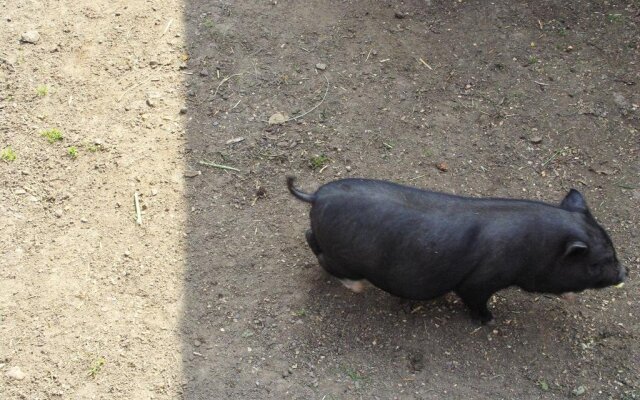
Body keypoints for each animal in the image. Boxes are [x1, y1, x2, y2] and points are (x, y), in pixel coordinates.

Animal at [288, 177, 628, 324]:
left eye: (612, 248)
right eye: (601, 260)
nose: (625, 271)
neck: (536, 246)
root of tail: (317, 196)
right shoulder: (479, 281)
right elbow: (474, 299)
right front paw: (491, 321)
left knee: (308, 236)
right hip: (343, 256)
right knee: (327, 261)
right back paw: (357, 287)